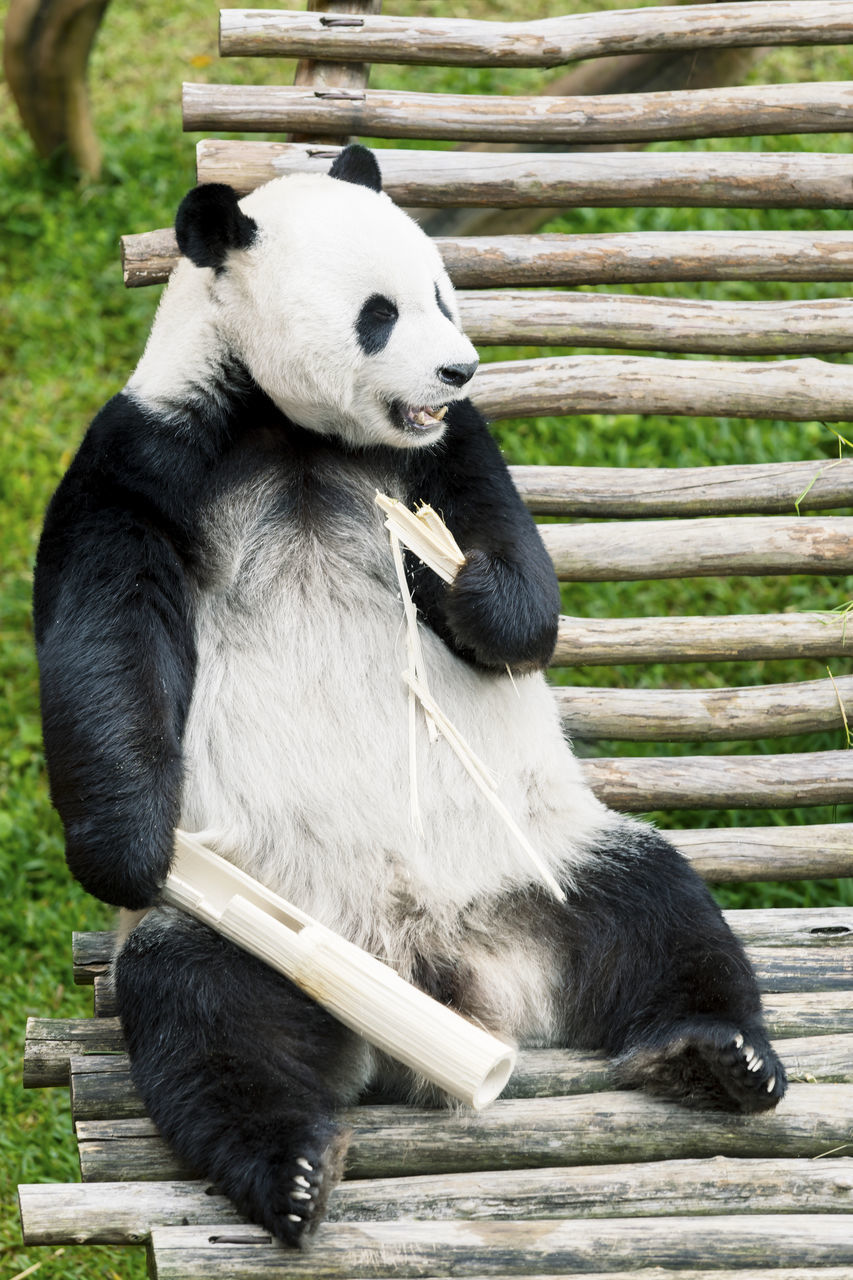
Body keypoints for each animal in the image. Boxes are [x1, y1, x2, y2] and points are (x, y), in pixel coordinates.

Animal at [33, 145, 783, 1244]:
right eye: (378, 313)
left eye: (441, 293)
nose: (459, 368)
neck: (288, 431)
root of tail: (443, 975)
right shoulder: (147, 455)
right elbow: (105, 633)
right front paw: (126, 849)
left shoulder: (449, 449)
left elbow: (519, 582)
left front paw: (455, 581)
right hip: (261, 917)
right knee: (208, 1020)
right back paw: (291, 1170)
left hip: (545, 855)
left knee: (659, 910)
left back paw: (717, 1054)